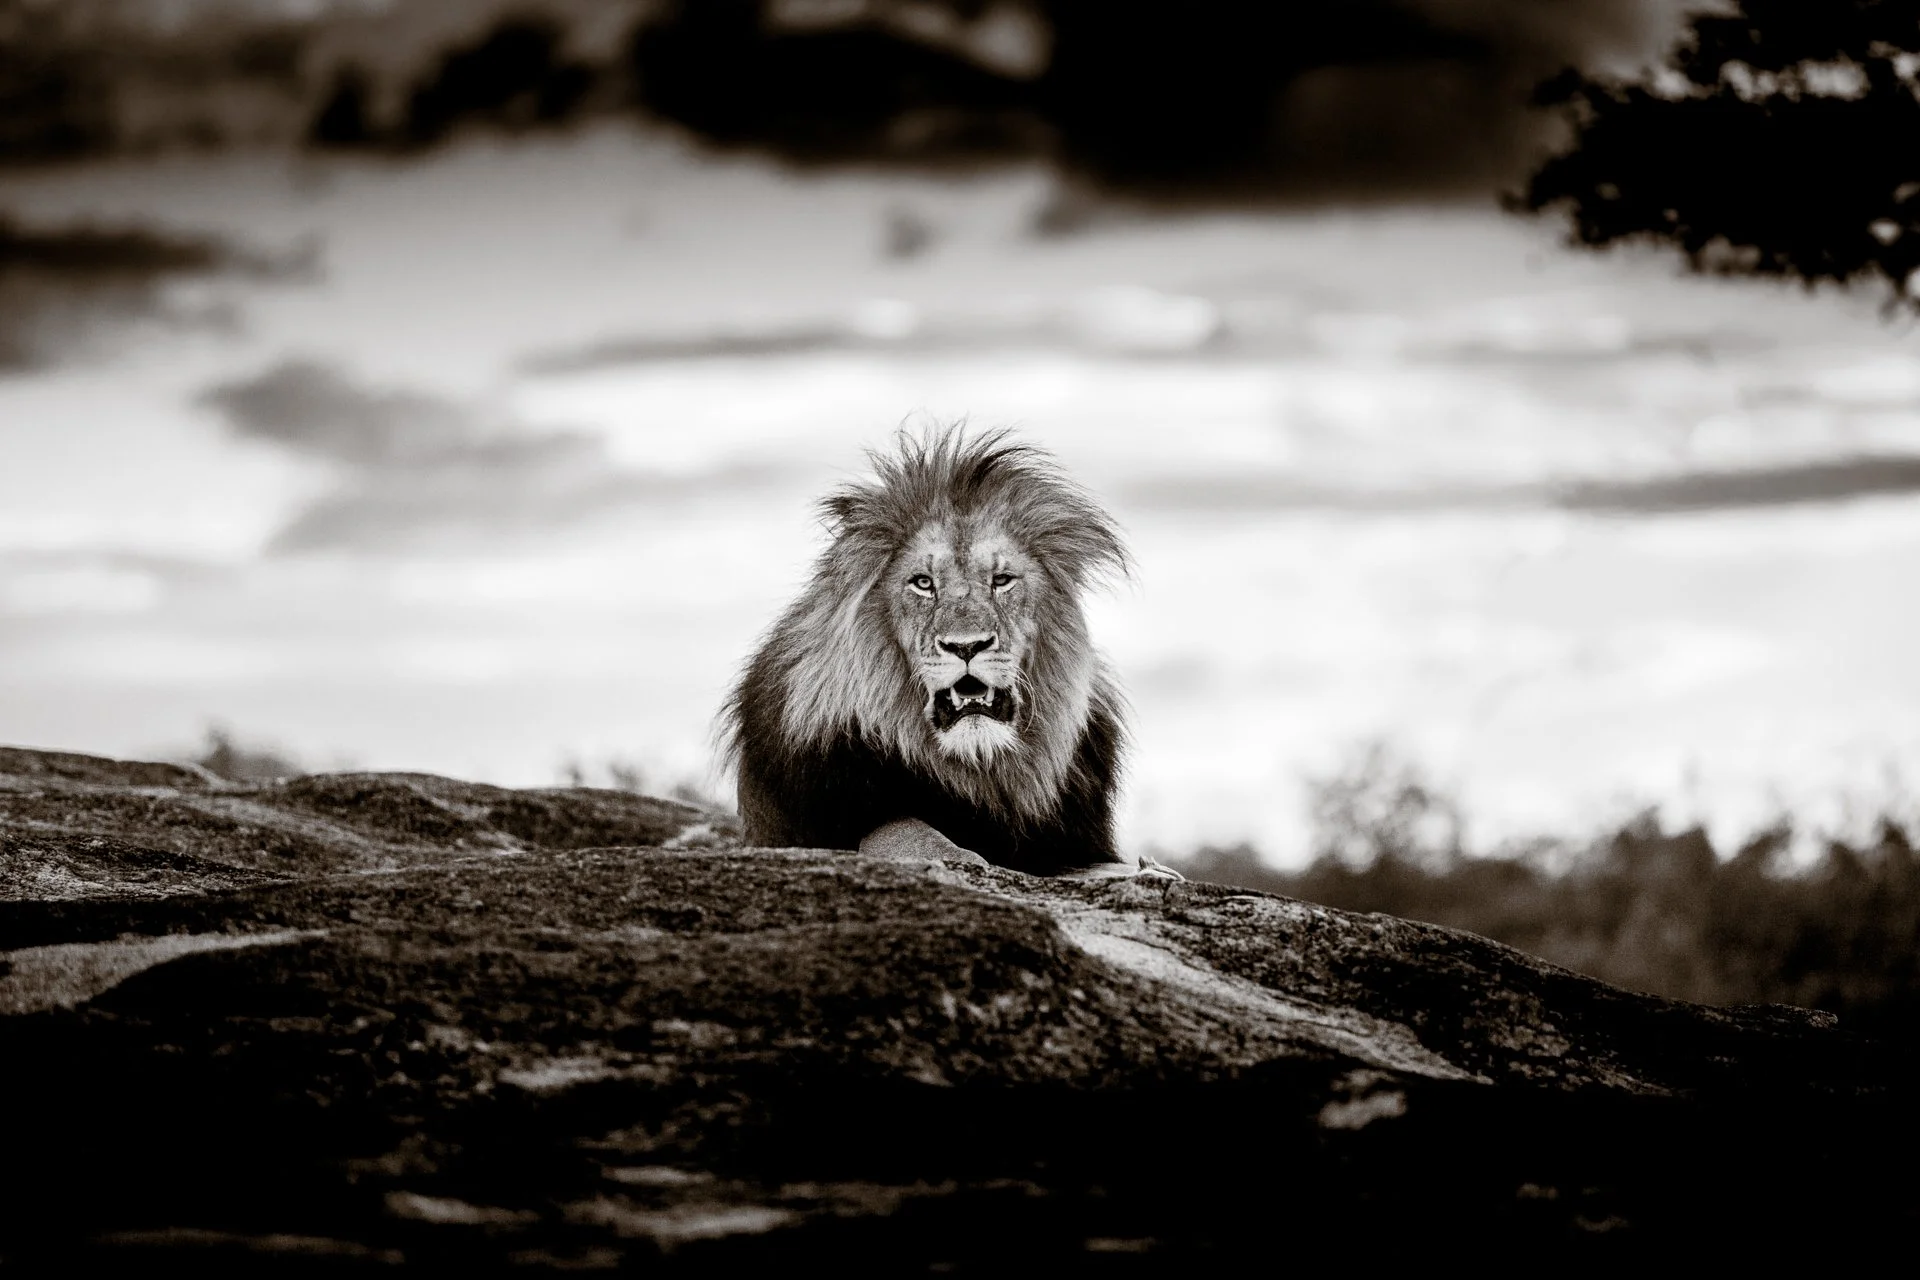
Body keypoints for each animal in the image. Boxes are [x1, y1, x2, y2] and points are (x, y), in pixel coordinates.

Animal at [721, 428, 1178, 879]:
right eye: (923, 583)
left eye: (1002, 580)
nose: (967, 645)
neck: (980, 763)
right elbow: (900, 828)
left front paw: (1153, 869)